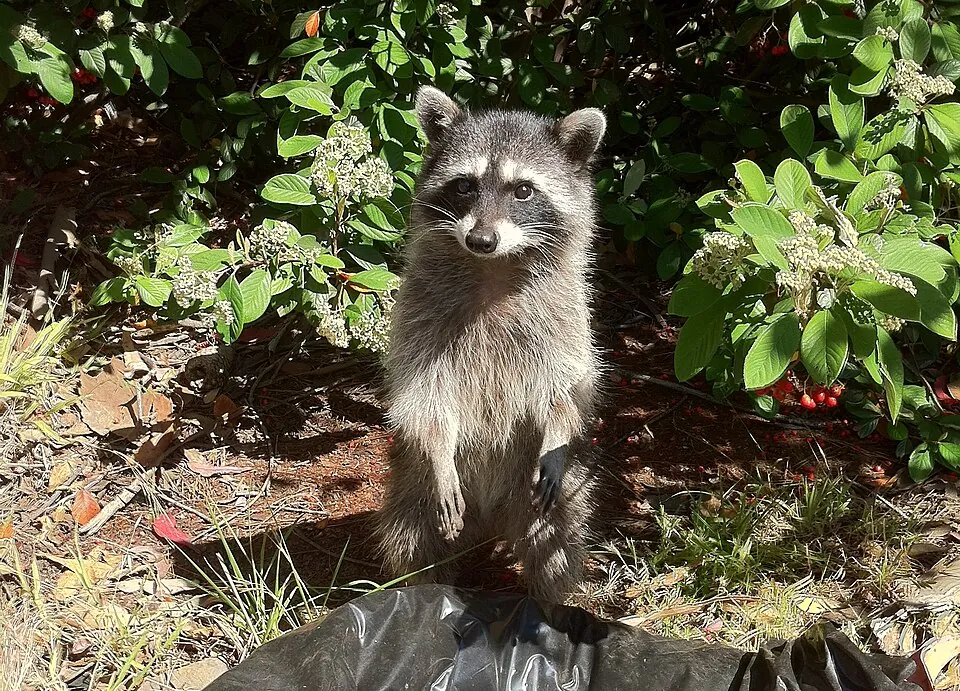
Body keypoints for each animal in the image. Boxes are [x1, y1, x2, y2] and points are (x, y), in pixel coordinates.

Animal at [375, 86, 606, 602]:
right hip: (412, 489)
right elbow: (422, 398)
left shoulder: (565, 316)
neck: (492, 268)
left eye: (523, 190)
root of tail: (491, 525)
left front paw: (558, 431)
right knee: (410, 542)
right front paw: (440, 452)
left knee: (557, 545)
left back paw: (551, 602)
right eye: (465, 185)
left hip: (545, 496)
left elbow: (569, 388)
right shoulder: (419, 314)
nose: (481, 238)